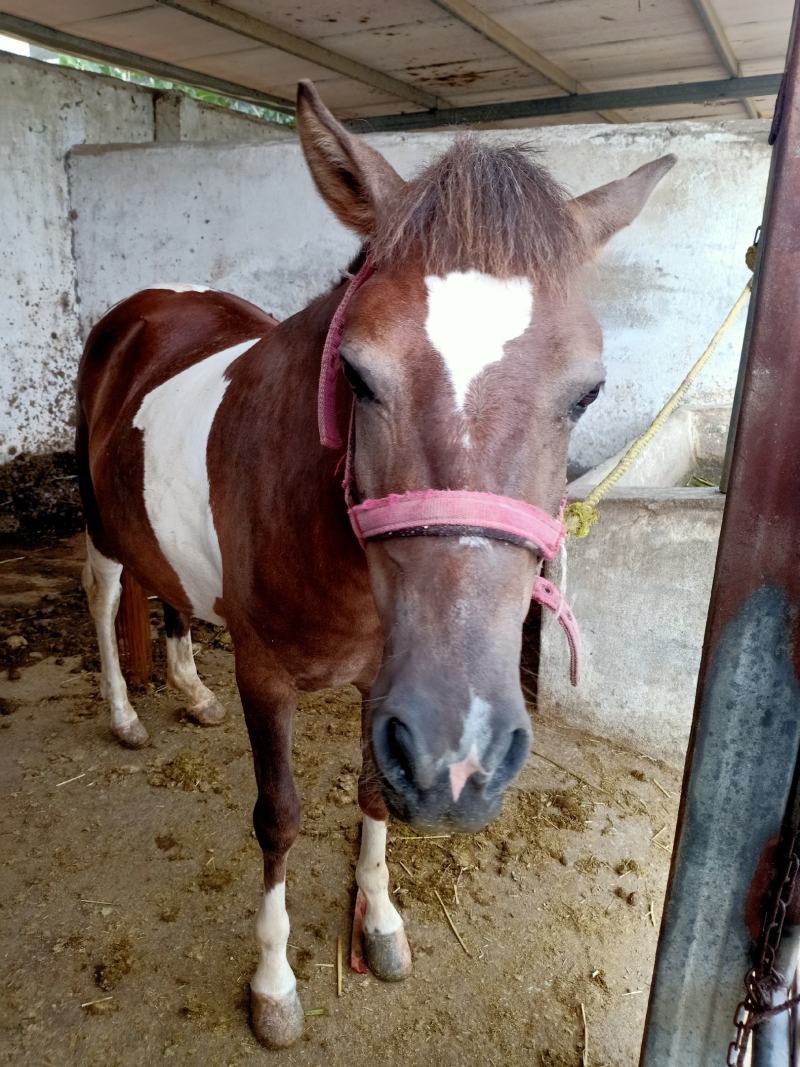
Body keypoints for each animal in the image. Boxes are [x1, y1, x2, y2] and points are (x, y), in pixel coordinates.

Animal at [75, 78, 674, 1048]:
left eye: (588, 392)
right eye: (356, 374)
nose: (462, 757)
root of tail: (147, 305)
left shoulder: (382, 688)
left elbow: (374, 792)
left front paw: (382, 923)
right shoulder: (268, 675)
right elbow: (279, 817)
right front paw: (274, 983)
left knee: (170, 595)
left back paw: (191, 693)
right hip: (99, 520)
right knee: (104, 594)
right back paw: (126, 713)